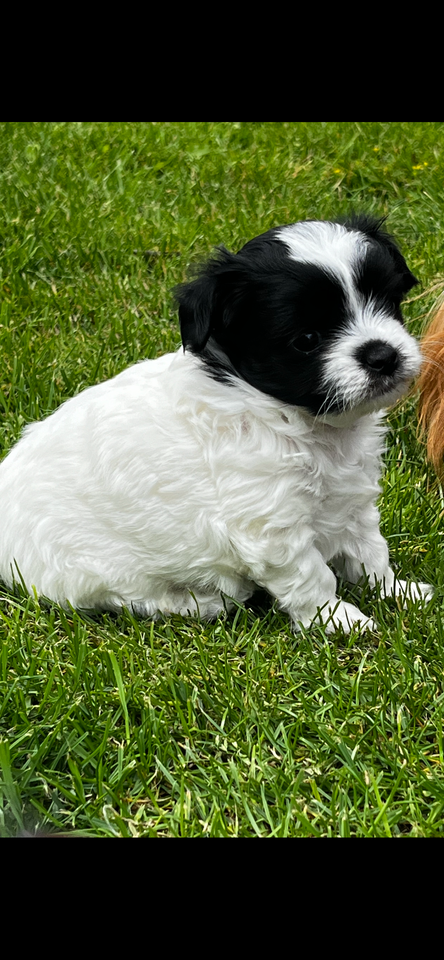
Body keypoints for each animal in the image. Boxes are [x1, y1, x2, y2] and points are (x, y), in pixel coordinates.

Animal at [0, 216, 432, 632]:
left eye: (388, 305)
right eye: (307, 339)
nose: (382, 355)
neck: (294, 418)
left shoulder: (353, 501)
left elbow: (370, 553)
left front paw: (397, 592)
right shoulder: (272, 527)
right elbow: (310, 576)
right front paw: (338, 619)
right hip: (89, 573)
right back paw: (200, 603)